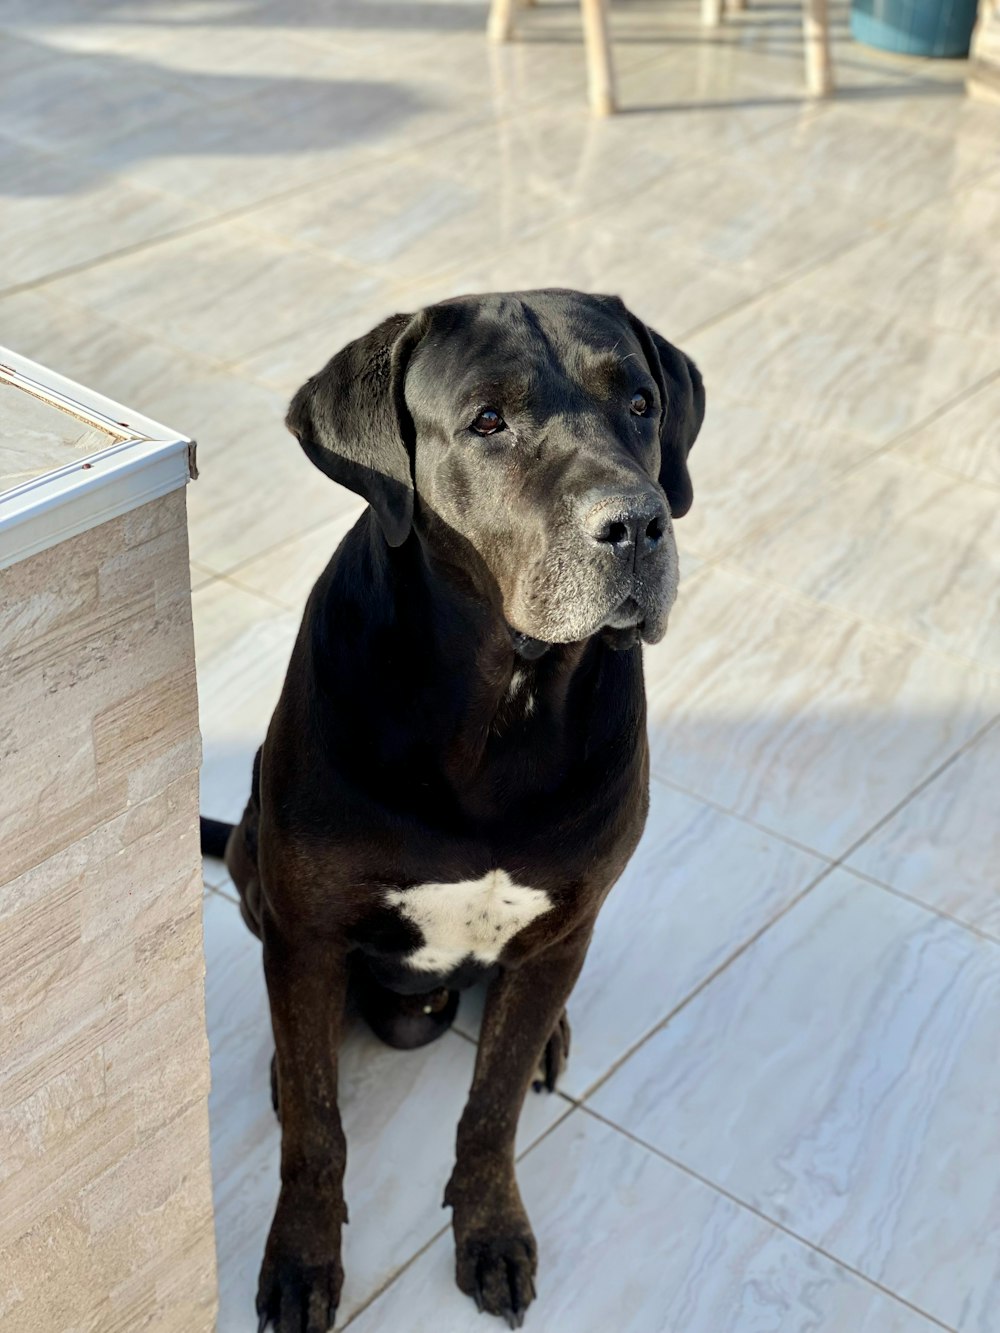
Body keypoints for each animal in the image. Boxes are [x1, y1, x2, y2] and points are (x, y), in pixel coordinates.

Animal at [201, 291, 704, 1333]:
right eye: (487, 421)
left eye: (640, 402)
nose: (637, 524)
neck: (499, 700)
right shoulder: (308, 931)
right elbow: (317, 1128)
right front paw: (302, 1261)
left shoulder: (562, 926)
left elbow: (492, 1106)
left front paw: (493, 1230)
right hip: (257, 863)